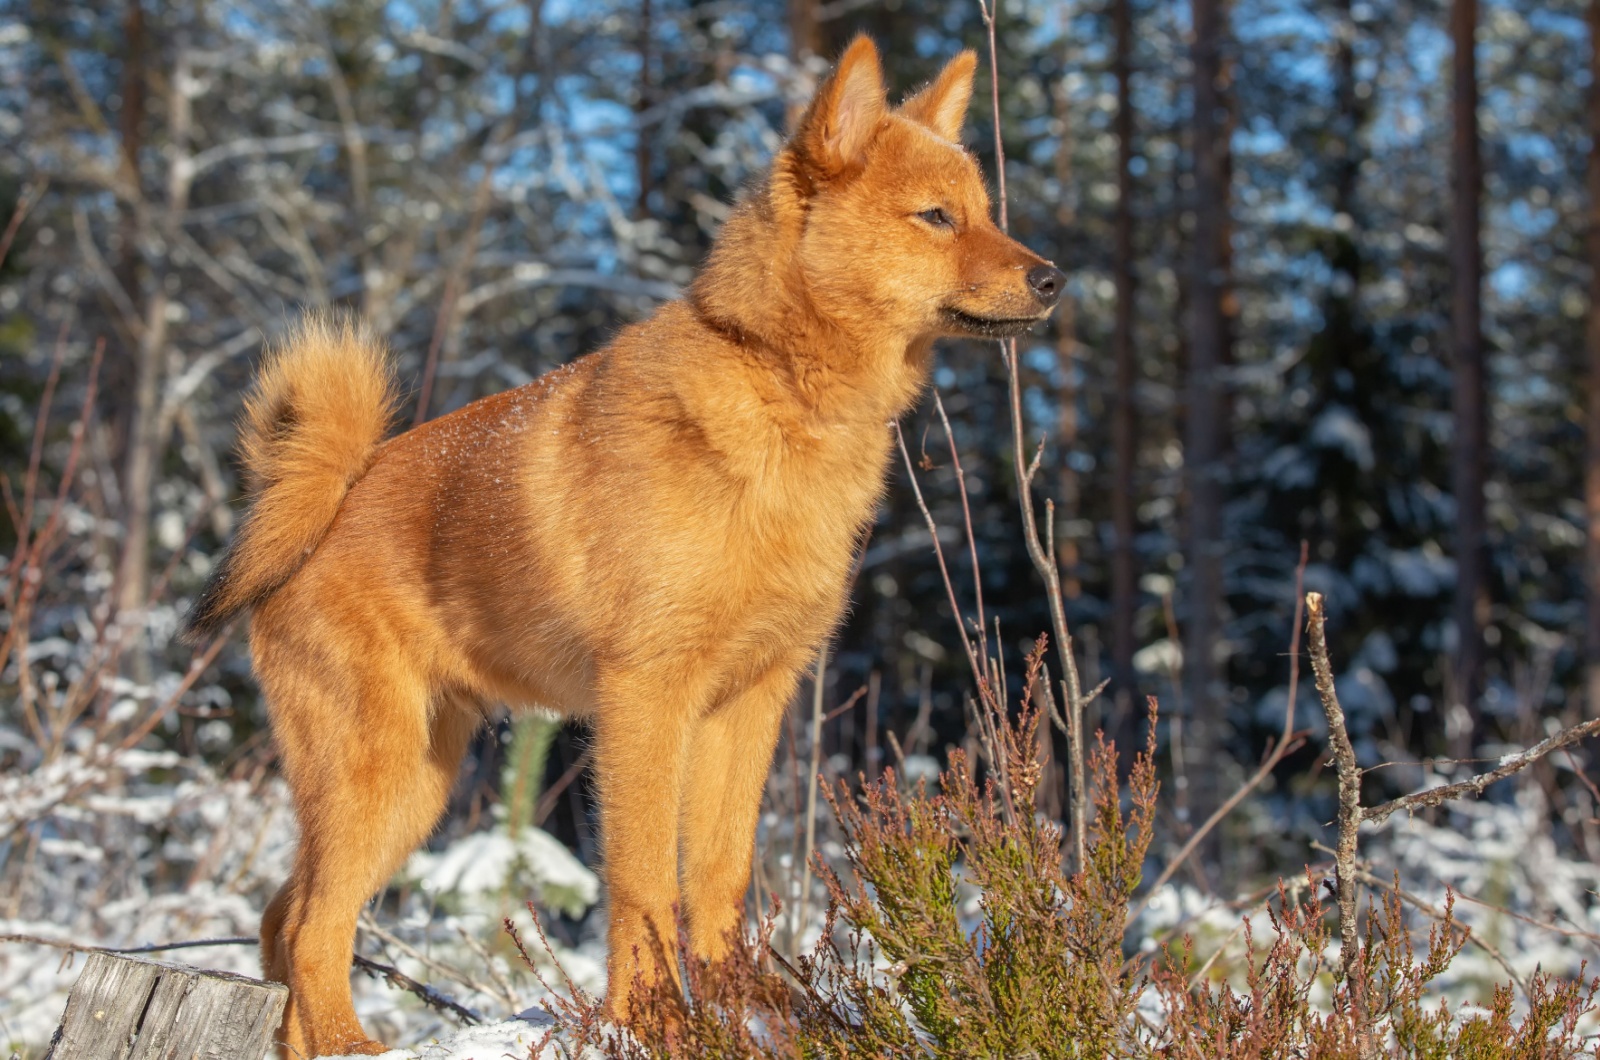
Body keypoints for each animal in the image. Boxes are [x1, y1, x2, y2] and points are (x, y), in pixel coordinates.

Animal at [187, 37, 1062, 1056]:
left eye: (988, 213)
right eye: (936, 216)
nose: (1054, 278)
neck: (780, 389)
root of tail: (326, 499)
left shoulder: (748, 704)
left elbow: (718, 876)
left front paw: (747, 1012)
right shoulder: (646, 697)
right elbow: (644, 883)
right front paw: (653, 1023)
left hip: (412, 786)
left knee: (283, 918)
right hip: (379, 771)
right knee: (313, 925)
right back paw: (349, 1040)